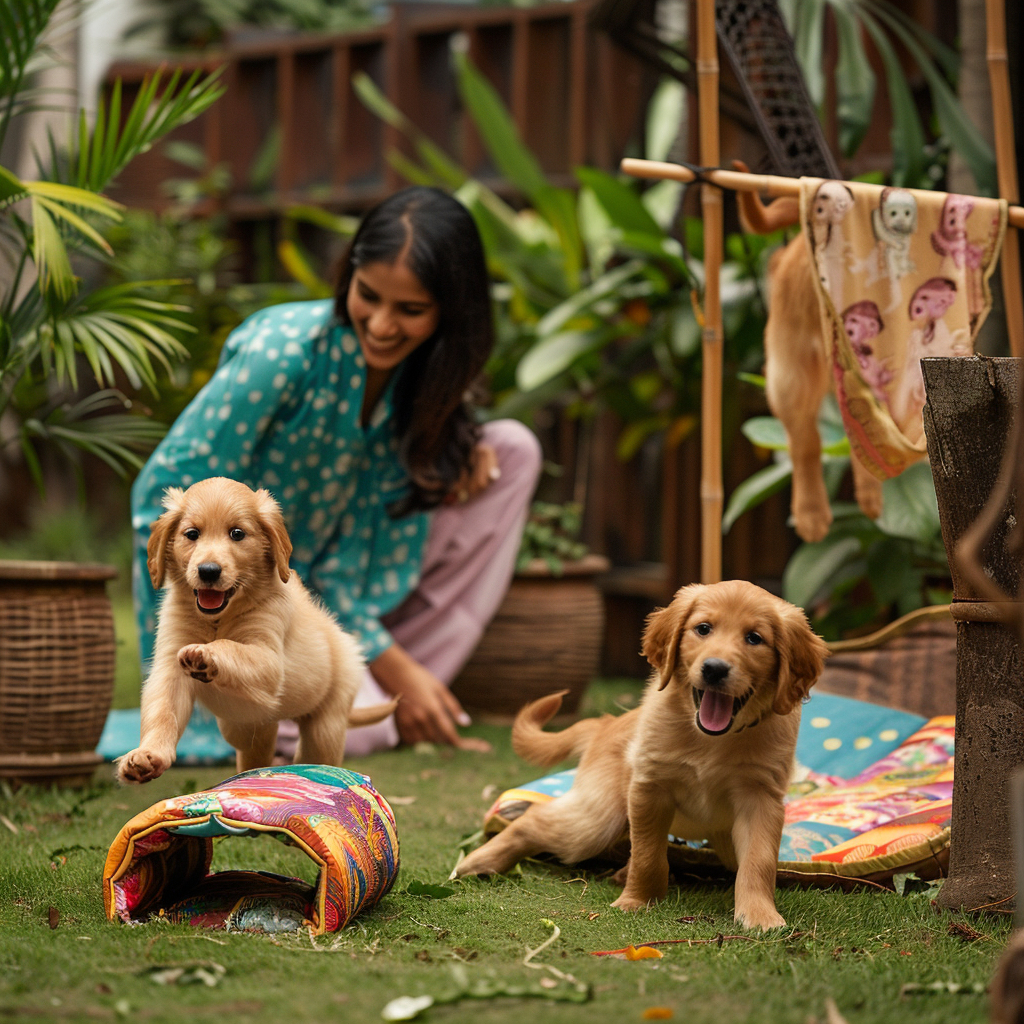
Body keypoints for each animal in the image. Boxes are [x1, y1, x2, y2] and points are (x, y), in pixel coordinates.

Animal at [117, 479, 395, 782]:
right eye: (192, 534)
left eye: (237, 533)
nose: (208, 571)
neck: (218, 619)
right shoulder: (169, 665)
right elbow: (163, 710)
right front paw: (148, 756)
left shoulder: (270, 659)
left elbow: (231, 647)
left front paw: (206, 654)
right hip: (241, 727)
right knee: (257, 747)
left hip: (327, 721)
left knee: (315, 752)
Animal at [452, 585, 827, 929]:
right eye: (703, 628)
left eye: (754, 638)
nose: (715, 669)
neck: (710, 741)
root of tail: (606, 724)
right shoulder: (650, 786)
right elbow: (648, 854)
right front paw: (637, 900)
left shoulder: (761, 799)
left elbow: (758, 861)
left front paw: (761, 915)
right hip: (597, 818)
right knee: (534, 820)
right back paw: (477, 861)